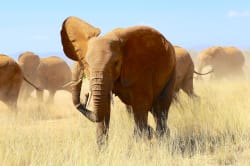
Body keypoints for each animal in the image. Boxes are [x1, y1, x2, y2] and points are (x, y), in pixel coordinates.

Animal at [60, 15, 176, 145]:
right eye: (87, 64)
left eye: (115, 63)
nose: (85, 97)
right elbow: (104, 107)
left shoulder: (142, 70)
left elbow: (141, 105)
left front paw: (140, 143)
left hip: (172, 72)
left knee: (161, 109)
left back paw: (162, 139)